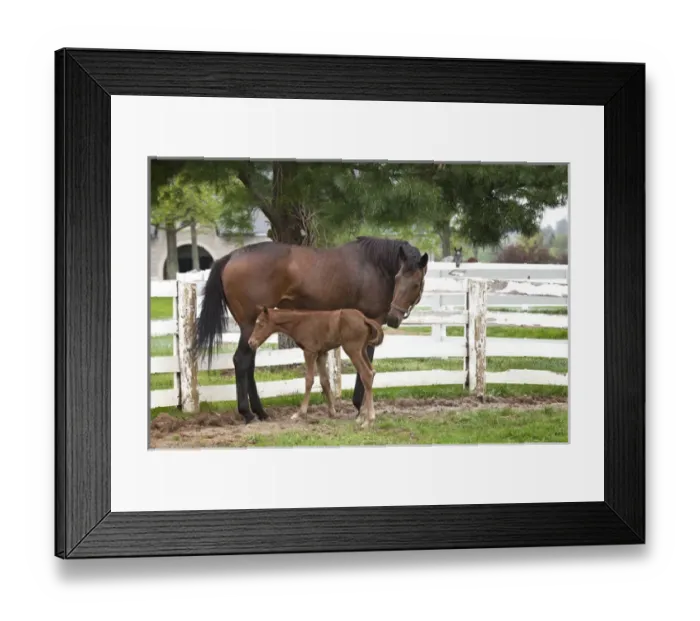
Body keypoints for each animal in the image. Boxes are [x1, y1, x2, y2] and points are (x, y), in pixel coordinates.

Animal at [247, 306, 385, 428]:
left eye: (261, 324)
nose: (251, 342)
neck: (299, 322)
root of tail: (364, 319)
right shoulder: (321, 353)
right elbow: (324, 381)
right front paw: (332, 412)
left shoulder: (310, 352)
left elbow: (309, 380)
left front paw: (300, 413)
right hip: (362, 350)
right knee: (372, 372)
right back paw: (362, 416)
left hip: (352, 350)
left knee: (366, 374)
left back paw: (369, 420)